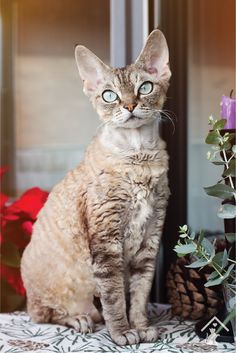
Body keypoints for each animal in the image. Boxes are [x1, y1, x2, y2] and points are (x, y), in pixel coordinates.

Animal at [20, 29, 171, 344]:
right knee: (44, 314)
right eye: (109, 95)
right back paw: (79, 319)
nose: (129, 105)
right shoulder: (106, 242)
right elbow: (114, 297)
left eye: (145, 87)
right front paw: (122, 332)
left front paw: (140, 326)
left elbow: (139, 294)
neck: (138, 156)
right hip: (60, 289)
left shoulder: (150, 240)